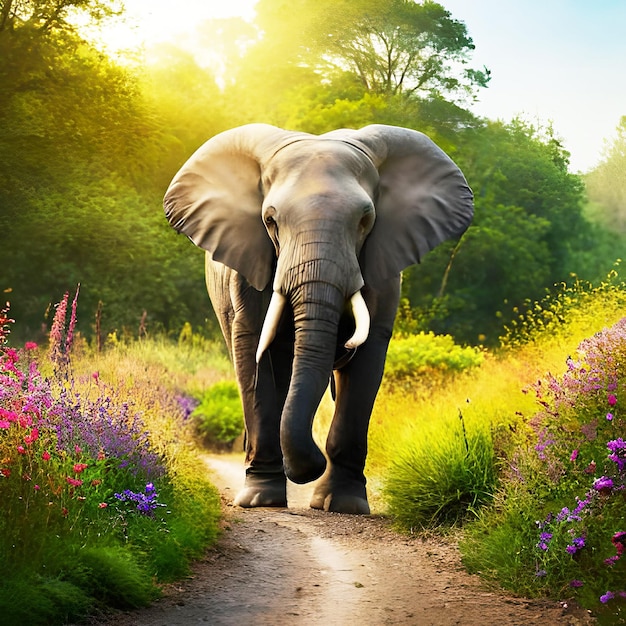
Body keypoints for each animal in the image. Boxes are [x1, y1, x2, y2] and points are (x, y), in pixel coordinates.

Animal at [163, 122, 470, 512]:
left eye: (365, 221)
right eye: (270, 220)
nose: (312, 464)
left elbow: (367, 358)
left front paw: (343, 504)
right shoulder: (249, 264)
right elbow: (252, 348)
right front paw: (261, 500)